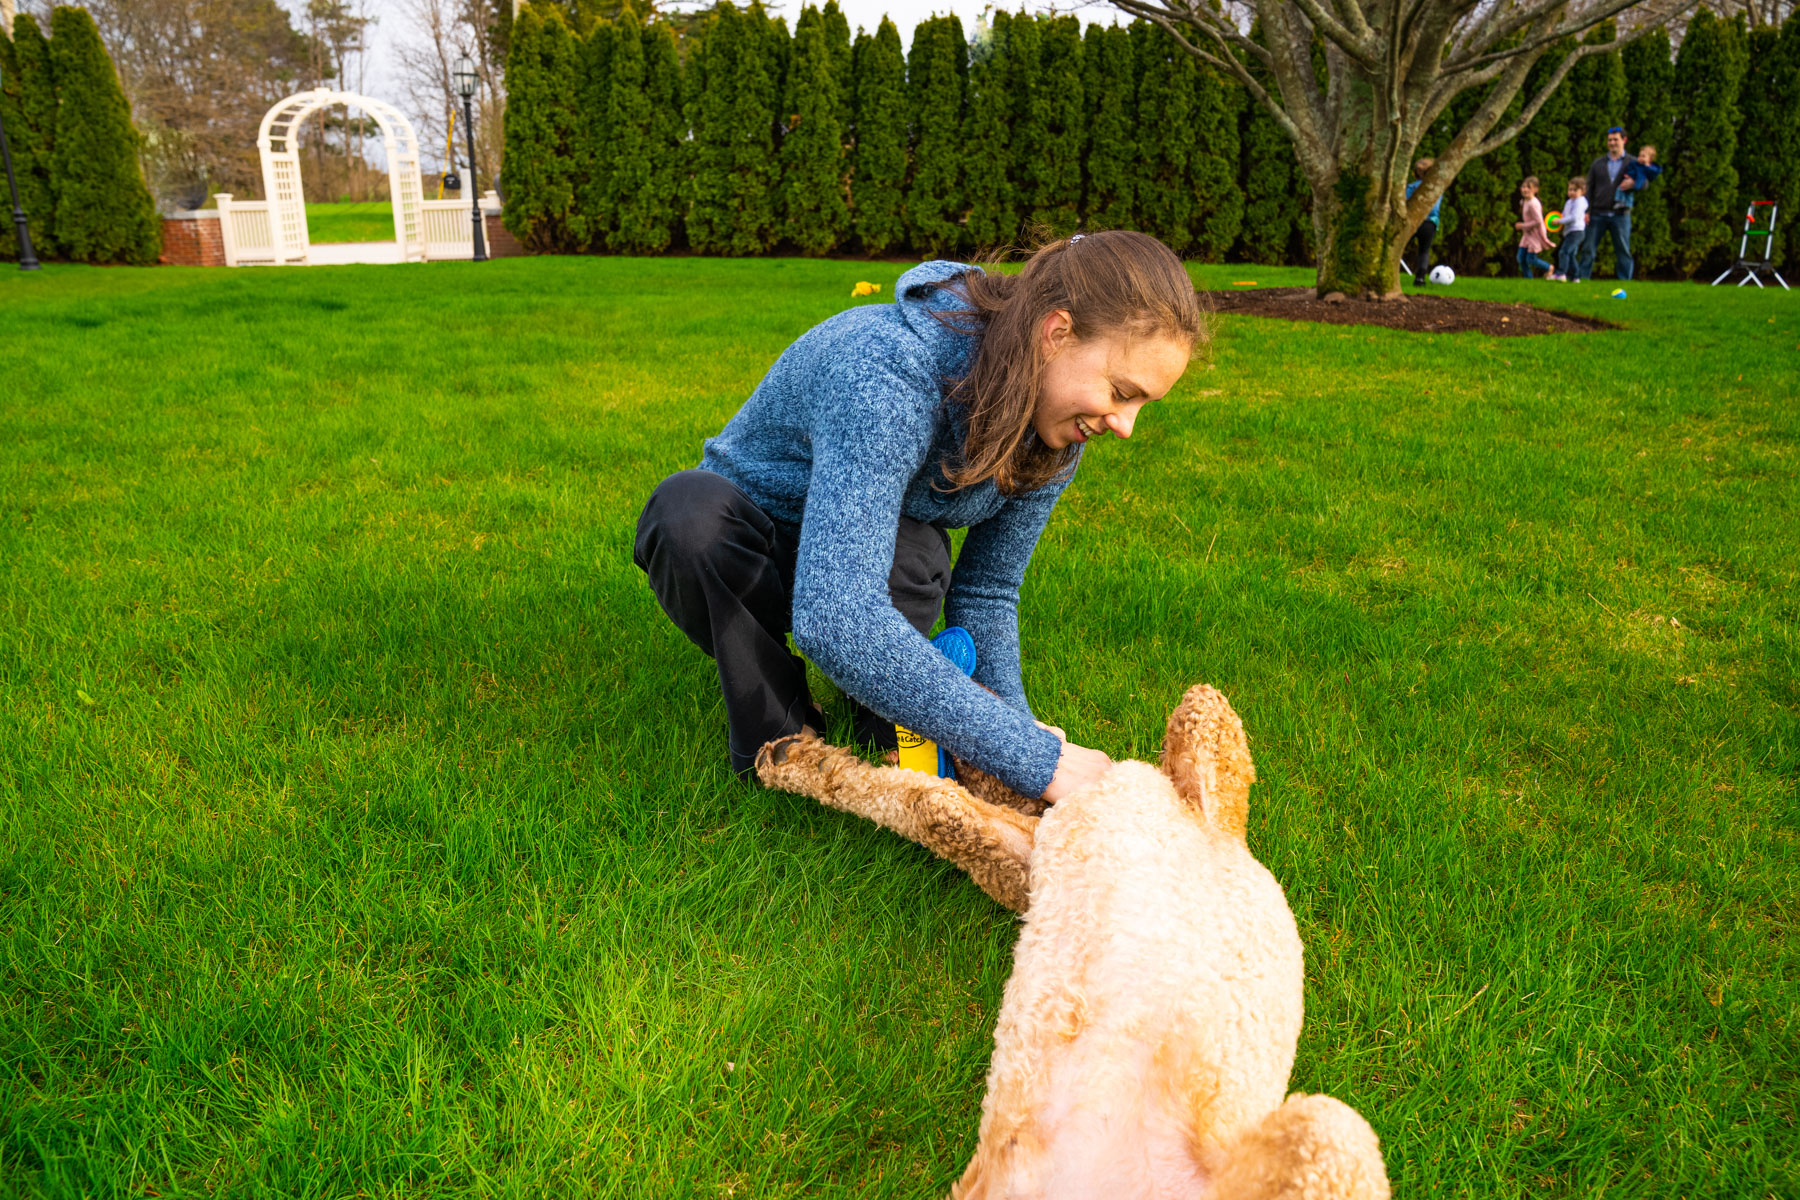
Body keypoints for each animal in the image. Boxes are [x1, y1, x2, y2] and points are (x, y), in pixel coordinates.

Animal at [759, 683, 1389, 1200]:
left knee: (1201, 709)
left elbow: (941, 804)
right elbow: (939, 810)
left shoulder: (1069, 834)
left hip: (1330, 1135)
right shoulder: (1043, 854)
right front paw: (802, 760)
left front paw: (810, 759)